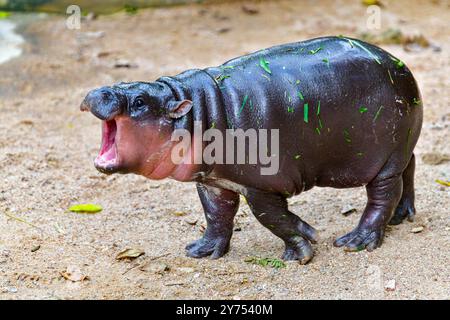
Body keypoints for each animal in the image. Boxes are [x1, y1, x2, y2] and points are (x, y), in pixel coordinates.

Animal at [80, 36, 422, 264]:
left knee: (382, 195)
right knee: (410, 169)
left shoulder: (262, 187)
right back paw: (401, 217)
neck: (196, 109)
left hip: (385, 160)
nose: (97, 91)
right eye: (123, 82)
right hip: (401, 148)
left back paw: (356, 241)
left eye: (139, 101)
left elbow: (273, 218)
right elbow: (216, 215)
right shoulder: (212, 181)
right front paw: (202, 251)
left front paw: (302, 249)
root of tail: (400, 65)